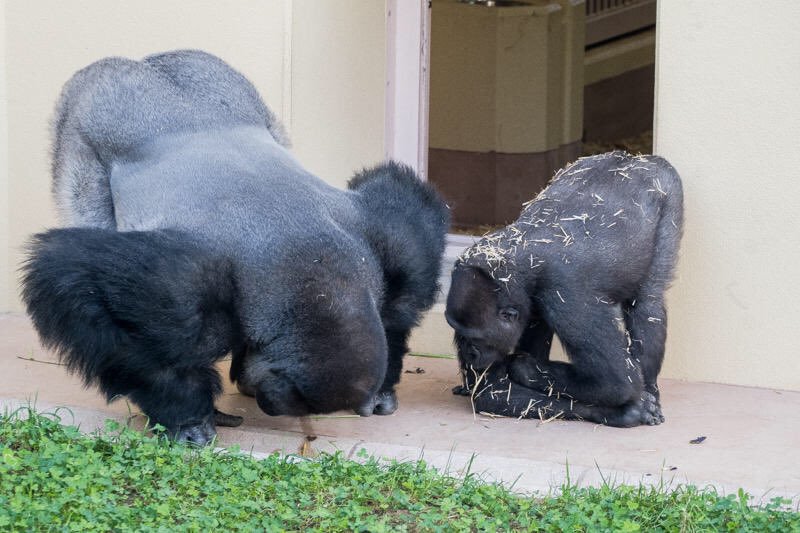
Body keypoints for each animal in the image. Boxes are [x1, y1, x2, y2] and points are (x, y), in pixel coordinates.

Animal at [18, 50, 450, 442]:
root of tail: (146, 62)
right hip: (81, 122)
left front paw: (382, 385)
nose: (268, 404)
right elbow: (100, 304)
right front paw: (188, 415)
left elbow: (404, 286)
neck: (314, 277)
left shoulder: (388, 238)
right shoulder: (175, 293)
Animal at [444, 152, 680, 426]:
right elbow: (493, 389)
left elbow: (615, 382)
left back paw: (650, 388)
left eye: (476, 338)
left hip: (668, 191)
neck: (520, 255)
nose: (469, 354)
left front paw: (524, 368)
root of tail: (636, 158)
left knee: (647, 302)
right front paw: (620, 413)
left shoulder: (568, 296)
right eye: (459, 333)